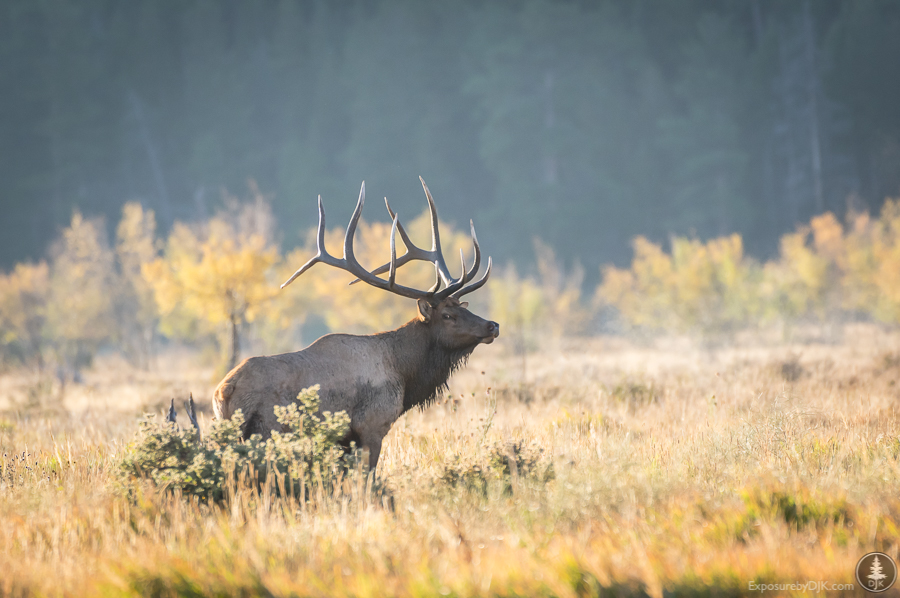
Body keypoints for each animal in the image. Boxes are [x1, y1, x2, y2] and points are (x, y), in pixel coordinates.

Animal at [215, 180, 502, 472]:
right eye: (447, 315)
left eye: (462, 307)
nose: (492, 326)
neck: (404, 373)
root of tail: (225, 389)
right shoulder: (372, 424)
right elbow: (369, 475)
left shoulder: (346, 439)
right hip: (265, 431)